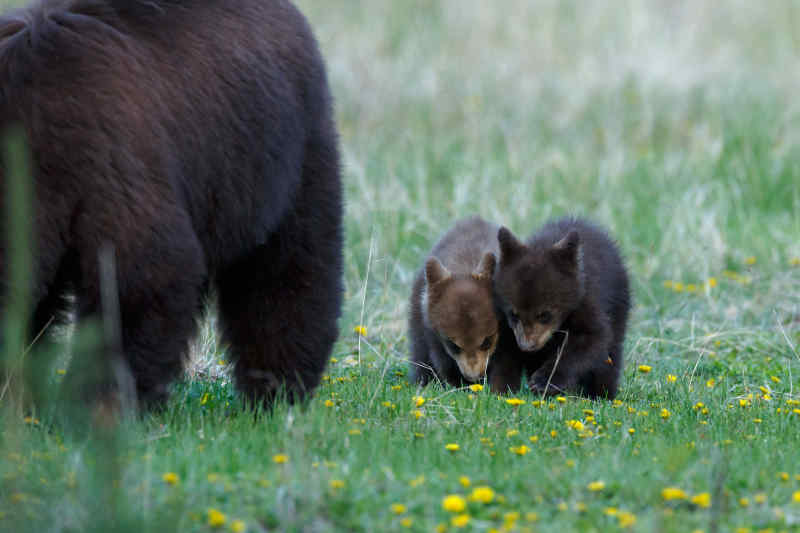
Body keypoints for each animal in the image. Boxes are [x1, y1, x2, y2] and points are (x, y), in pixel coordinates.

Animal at [0, 0, 340, 408]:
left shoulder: (100, 162)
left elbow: (145, 277)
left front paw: (101, 405)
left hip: (283, 154)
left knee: (285, 270)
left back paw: (276, 390)